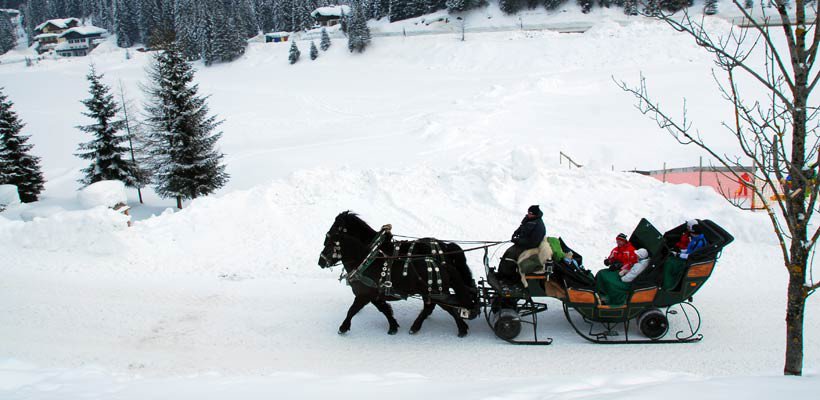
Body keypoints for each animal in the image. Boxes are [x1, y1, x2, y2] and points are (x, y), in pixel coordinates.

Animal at [318, 212, 478, 338]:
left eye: (336, 226)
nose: (320, 262)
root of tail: (445, 246)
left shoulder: (367, 294)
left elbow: (356, 309)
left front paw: (343, 327)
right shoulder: (374, 294)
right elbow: (383, 308)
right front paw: (393, 325)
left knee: (437, 305)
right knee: (432, 305)